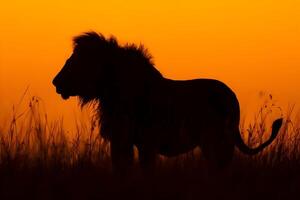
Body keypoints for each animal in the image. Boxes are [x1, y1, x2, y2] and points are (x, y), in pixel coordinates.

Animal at [52, 31, 282, 172]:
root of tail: (232, 98)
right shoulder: (121, 142)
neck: (110, 92)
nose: (56, 82)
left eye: (77, 60)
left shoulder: (146, 143)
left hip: (216, 141)